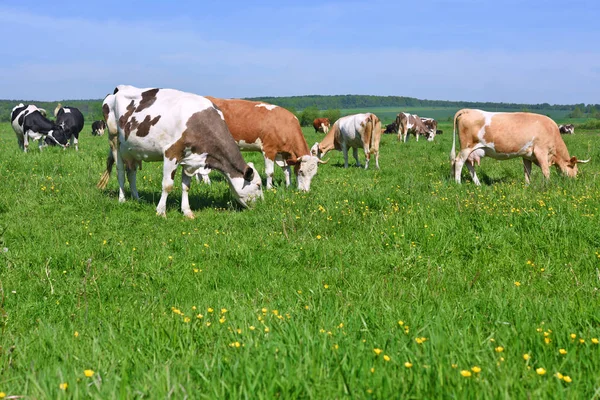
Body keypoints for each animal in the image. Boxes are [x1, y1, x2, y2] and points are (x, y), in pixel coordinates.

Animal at [97, 83, 262, 217]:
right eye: (259, 185)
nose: (262, 205)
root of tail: (118, 90)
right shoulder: (171, 153)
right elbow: (167, 185)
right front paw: (161, 212)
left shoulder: (190, 160)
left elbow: (186, 186)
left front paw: (187, 211)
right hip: (114, 141)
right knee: (120, 172)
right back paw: (122, 199)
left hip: (132, 150)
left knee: (131, 173)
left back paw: (137, 198)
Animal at [452, 108, 588, 185]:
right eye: (575, 170)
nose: (573, 182)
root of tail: (468, 110)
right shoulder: (541, 152)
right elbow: (546, 171)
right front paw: (548, 186)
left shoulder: (527, 155)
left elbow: (527, 171)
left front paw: (527, 186)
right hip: (466, 147)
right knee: (458, 162)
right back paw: (458, 183)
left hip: (471, 150)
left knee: (469, 164)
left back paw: (478, 184)